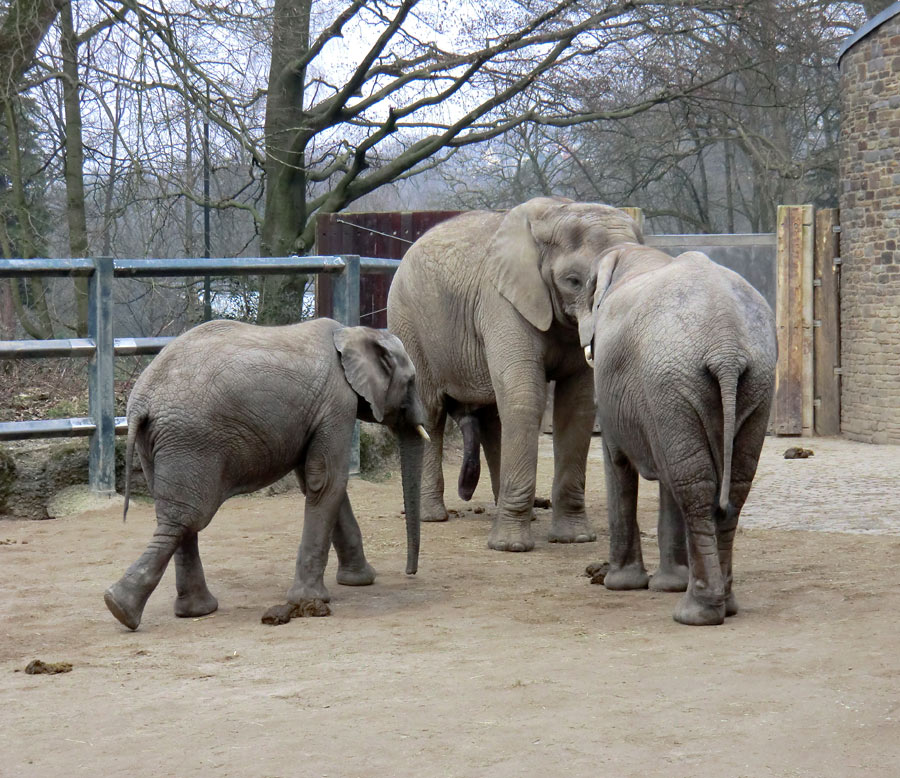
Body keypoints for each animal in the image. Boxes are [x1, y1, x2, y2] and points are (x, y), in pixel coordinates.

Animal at [103, 318, 428, 628]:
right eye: (411, 381)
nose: (410, 572)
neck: (353, 332)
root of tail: (140, 403)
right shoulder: (337, 404)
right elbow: (327, 481)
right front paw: (311, 601)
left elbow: (319, 482)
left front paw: (359, 581)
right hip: (190, 440)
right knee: (187, 517)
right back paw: (123, 609)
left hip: (158, 445)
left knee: (178, 516)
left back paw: (175, 610)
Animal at [384, 199, 640, 552]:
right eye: (573, 281)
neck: (559, 211)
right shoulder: (502, 302)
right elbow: (524, 396)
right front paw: (510, 547)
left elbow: (577, 407)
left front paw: (574, 539)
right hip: (408, 321)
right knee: (432, 411)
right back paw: (432, 517)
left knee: (493, 417)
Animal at [580, 242, 776, 624]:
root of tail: (726, 347)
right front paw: (664, 585)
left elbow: (617, 461)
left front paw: (621, 585)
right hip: (751, 381)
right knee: (727, 486)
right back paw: (724, 604)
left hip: (673, 380)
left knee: (691, 485)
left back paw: (695, 613)